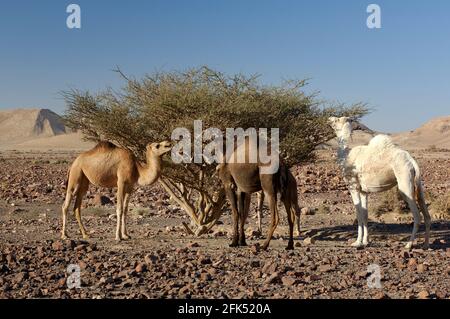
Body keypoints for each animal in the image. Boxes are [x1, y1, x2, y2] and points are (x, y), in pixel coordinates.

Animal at [328, 116, 430, 251]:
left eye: (337, 120)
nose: (329, 119)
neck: (346, 155)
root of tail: (411, 161)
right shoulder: (363, 191)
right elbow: (365, 215)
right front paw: (365, 242)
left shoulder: (353, 187)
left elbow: (358, 214)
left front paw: (357, 242)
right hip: (418, 185)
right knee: (426, 214)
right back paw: (426, 244)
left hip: (405, 182)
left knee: (417, 216)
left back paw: (409, 245)